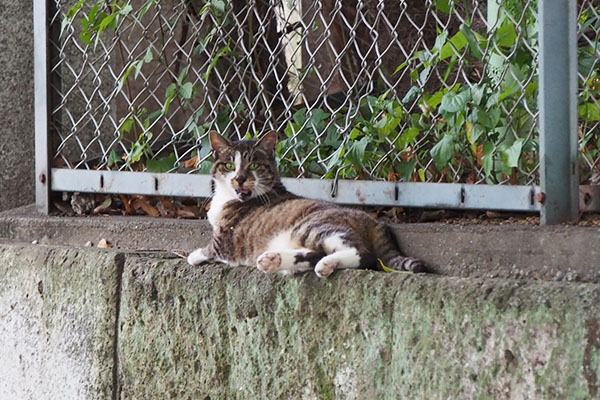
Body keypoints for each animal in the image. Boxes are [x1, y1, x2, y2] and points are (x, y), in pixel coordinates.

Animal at [188, 130, 426, 276]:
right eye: (229, 165)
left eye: (254, 164)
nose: (239, 178)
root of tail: (375, 222)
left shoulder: (226, 238)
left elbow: (210, 248)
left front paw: (194, 255)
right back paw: (274, 260)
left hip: (312, 227)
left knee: (364, 255)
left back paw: (326, 265)